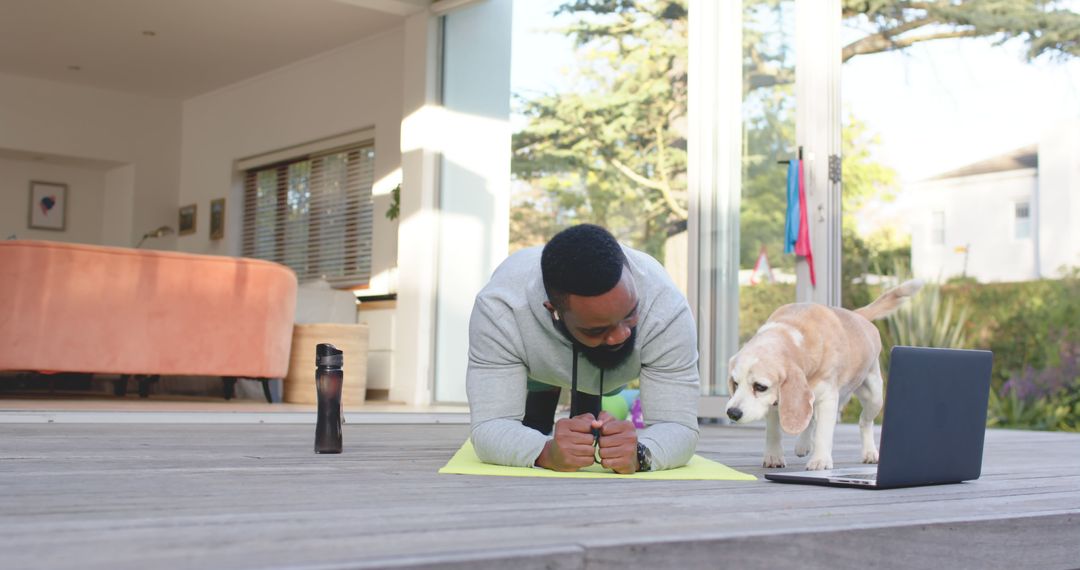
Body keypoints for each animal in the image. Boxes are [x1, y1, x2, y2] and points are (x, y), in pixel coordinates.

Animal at [721, 278, 924, 470]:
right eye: (735, 384)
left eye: (760, 387)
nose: (732, 413)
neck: (793, 333)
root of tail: (857, 314)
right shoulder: (774, 402)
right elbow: (774, 432)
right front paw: (774, 457)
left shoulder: (827, 399)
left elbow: (822, 433)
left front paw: (820, 461)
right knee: (809, 418)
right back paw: (803, 444)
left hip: (873, 397)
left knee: (864, 422)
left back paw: (869, 452)